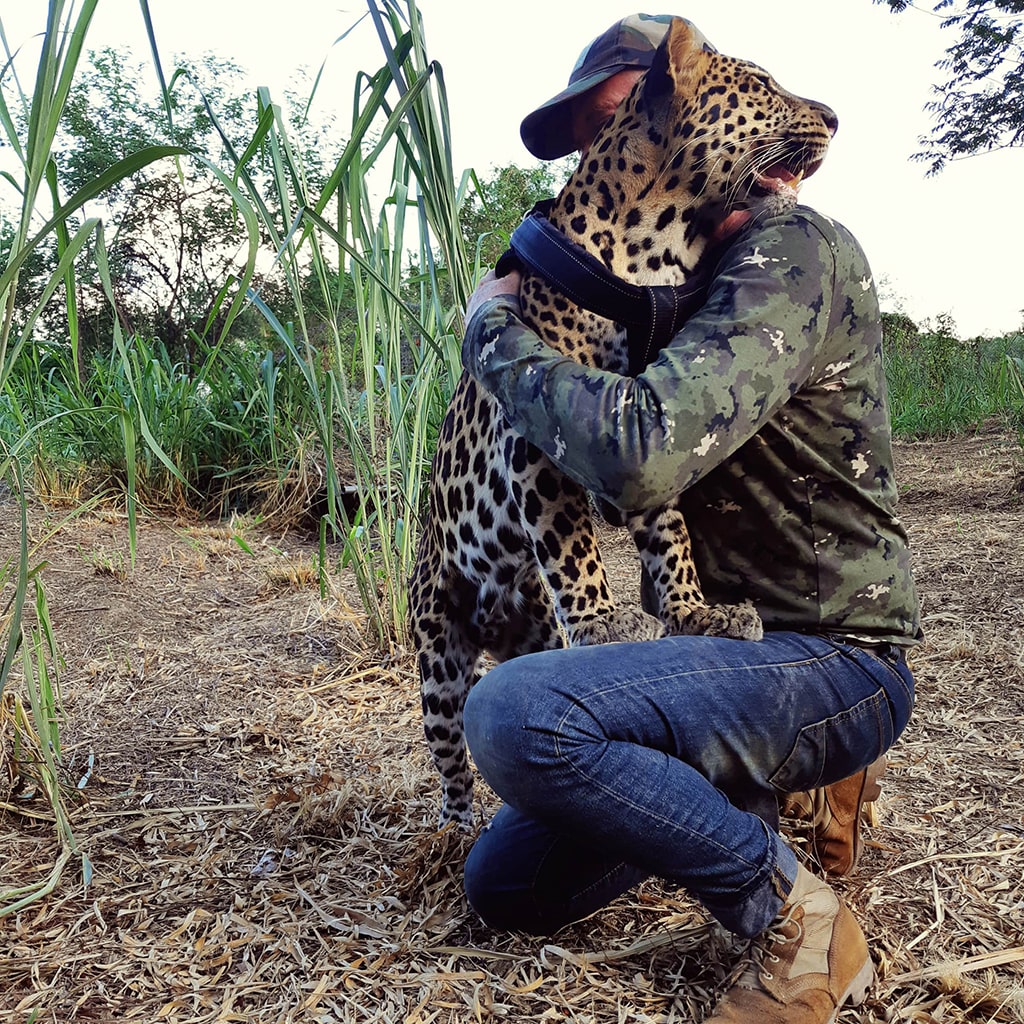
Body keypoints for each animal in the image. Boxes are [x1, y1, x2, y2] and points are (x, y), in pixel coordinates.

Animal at [407, 18, 839, 823]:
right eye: (764, 84)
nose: (835, 116)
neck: (664, 247)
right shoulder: (542, 440)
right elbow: (570, 540)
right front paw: (607, 621)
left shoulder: (644, 426)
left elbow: (669, 534)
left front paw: (695, 612)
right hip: (435, 647)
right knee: (449, 747)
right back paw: (455, 824)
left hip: (531, 629)